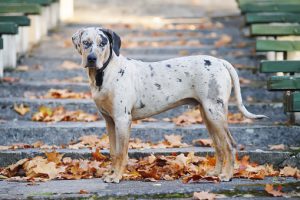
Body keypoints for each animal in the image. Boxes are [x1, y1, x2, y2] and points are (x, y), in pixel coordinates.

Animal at [72, 27, 268, 184]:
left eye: (103, 43)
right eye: (86, 42)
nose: (91, 58)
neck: (104, 74)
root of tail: (220, 62)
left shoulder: (122, 120)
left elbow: (121, 153)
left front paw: (116, 177)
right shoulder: (110, 121)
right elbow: (113, 152)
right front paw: (111, 174)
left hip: (215, 113)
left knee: (229, 145)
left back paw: (227, 175)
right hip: (208, 115)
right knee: (219, 147)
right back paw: (215, 173)